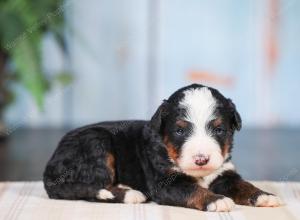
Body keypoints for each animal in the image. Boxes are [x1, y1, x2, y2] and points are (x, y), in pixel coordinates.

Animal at [43, 84, 282, 211]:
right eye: (180, 131)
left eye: (219, 129)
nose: (201, 159)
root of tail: (49, 169)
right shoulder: (165, 182)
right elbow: (192, 189)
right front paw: (217, 200)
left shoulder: (223, 173)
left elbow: (242, 184)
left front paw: (265, 196)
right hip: (96, 142)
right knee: (92, 186)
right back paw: (129, 193)